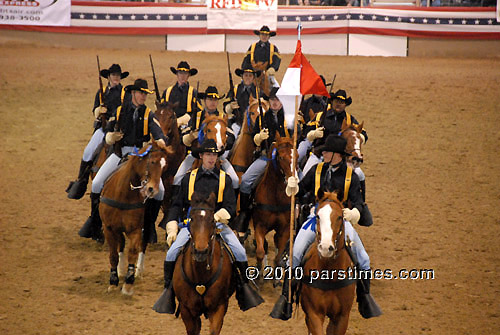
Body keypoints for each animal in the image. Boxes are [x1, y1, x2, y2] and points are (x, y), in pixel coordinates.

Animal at [98, 142, 171, 296]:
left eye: (164, 166)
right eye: (152, 162)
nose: (152, 190)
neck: (123, 194)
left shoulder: (135, 229)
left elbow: (132, 252)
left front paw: (128, 283)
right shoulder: (108, 228)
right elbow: (113, 254)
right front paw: (113, 281)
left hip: (147, 224)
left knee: (143, 244)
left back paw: (138, 271)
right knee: (121, 243)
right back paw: (120, 270)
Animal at [172, 192, 234, 335]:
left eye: (212, 220)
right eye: (192, 219)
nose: (201, 251)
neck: (200, 276)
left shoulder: (219, 307)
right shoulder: (186, 310)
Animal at [252, 133, 294, 282]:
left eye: (297, 155)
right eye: (280, 157)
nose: (292, 182)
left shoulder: (285, 229)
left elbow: (278, 256)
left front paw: (276, 277)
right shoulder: (259, 226)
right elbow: (260, 251)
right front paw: (258, 273)